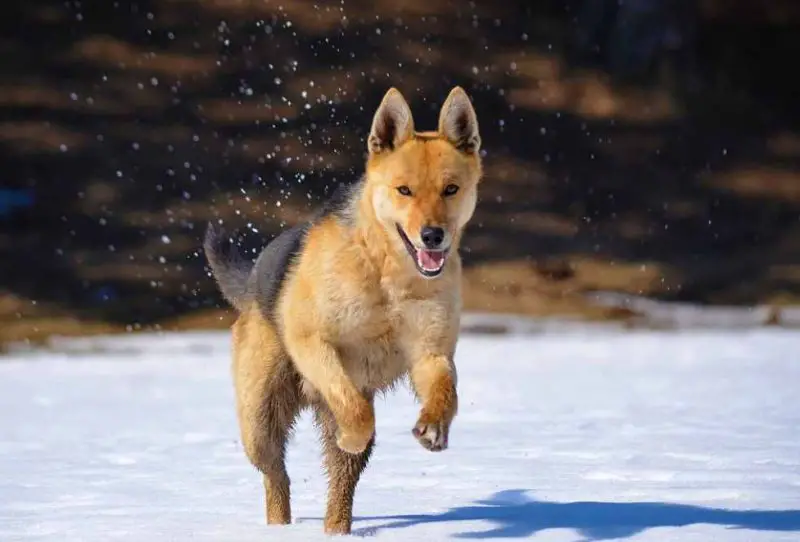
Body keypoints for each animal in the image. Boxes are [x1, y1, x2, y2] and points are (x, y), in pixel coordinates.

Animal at [203, 86, 483, 535]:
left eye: (451, 189)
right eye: (404, 190)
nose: (433, 236)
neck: (387, 272)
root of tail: (250, 283)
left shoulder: (431, 354)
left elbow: (446, 393)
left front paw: (434, 428)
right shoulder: (313, 343)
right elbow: (356, 411)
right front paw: (352, 432)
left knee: (340, 486)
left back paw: (337, 529)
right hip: (259, 423)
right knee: (276, 475)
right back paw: (280, 527)